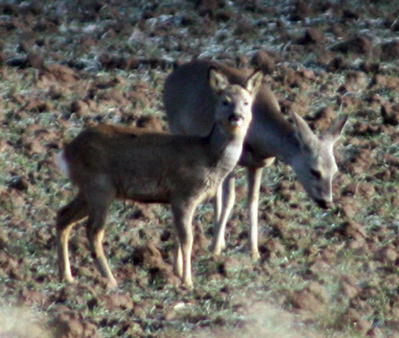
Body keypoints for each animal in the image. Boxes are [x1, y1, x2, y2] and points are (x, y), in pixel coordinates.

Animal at [55, 66, 262, 288]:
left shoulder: (178, 199)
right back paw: (110, 280)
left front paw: (177, 273)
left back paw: (67, 276)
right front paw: (188, 282)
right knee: (93, 231)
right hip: (100, 188)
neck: (208, 156)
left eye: (246, 102)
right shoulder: (184, 194)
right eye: (225, 101)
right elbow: (187, 239)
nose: (236, 116)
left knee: (63, 216)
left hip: (88, 189)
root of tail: (67, 152)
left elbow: (178, 236)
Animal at [164, 59, 348, 260]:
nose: (327, 202)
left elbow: (252, 201)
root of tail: (170, 77)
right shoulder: (232, 161)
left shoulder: (257, 165)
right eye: (314, 171)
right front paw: (215, 250)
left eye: (335, 171)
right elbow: (230, 200)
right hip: (176, 128)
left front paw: (254, 252)